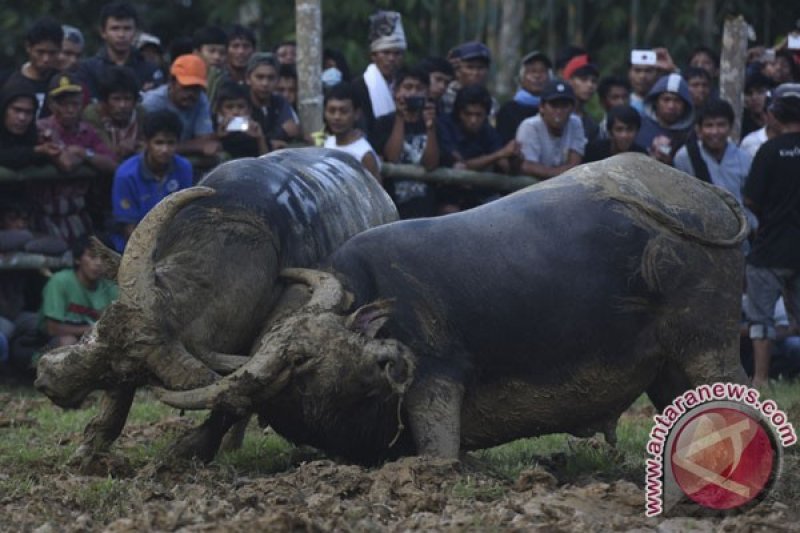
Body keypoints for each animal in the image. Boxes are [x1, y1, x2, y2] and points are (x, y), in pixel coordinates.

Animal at [34, 148, 396, 464]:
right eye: (101, 326)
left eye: (127, 370)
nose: (49, 380)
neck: (232, 221)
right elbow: (117, 404)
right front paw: (87, 451)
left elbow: (234, 400)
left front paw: (185, 451)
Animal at [161, 152, 752, 464]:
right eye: (301, 360)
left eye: (346, 336)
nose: (387, 359)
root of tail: (705, 197)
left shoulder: (438, 380)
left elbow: (440, 450)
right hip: (669, 367)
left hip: (708, 344)